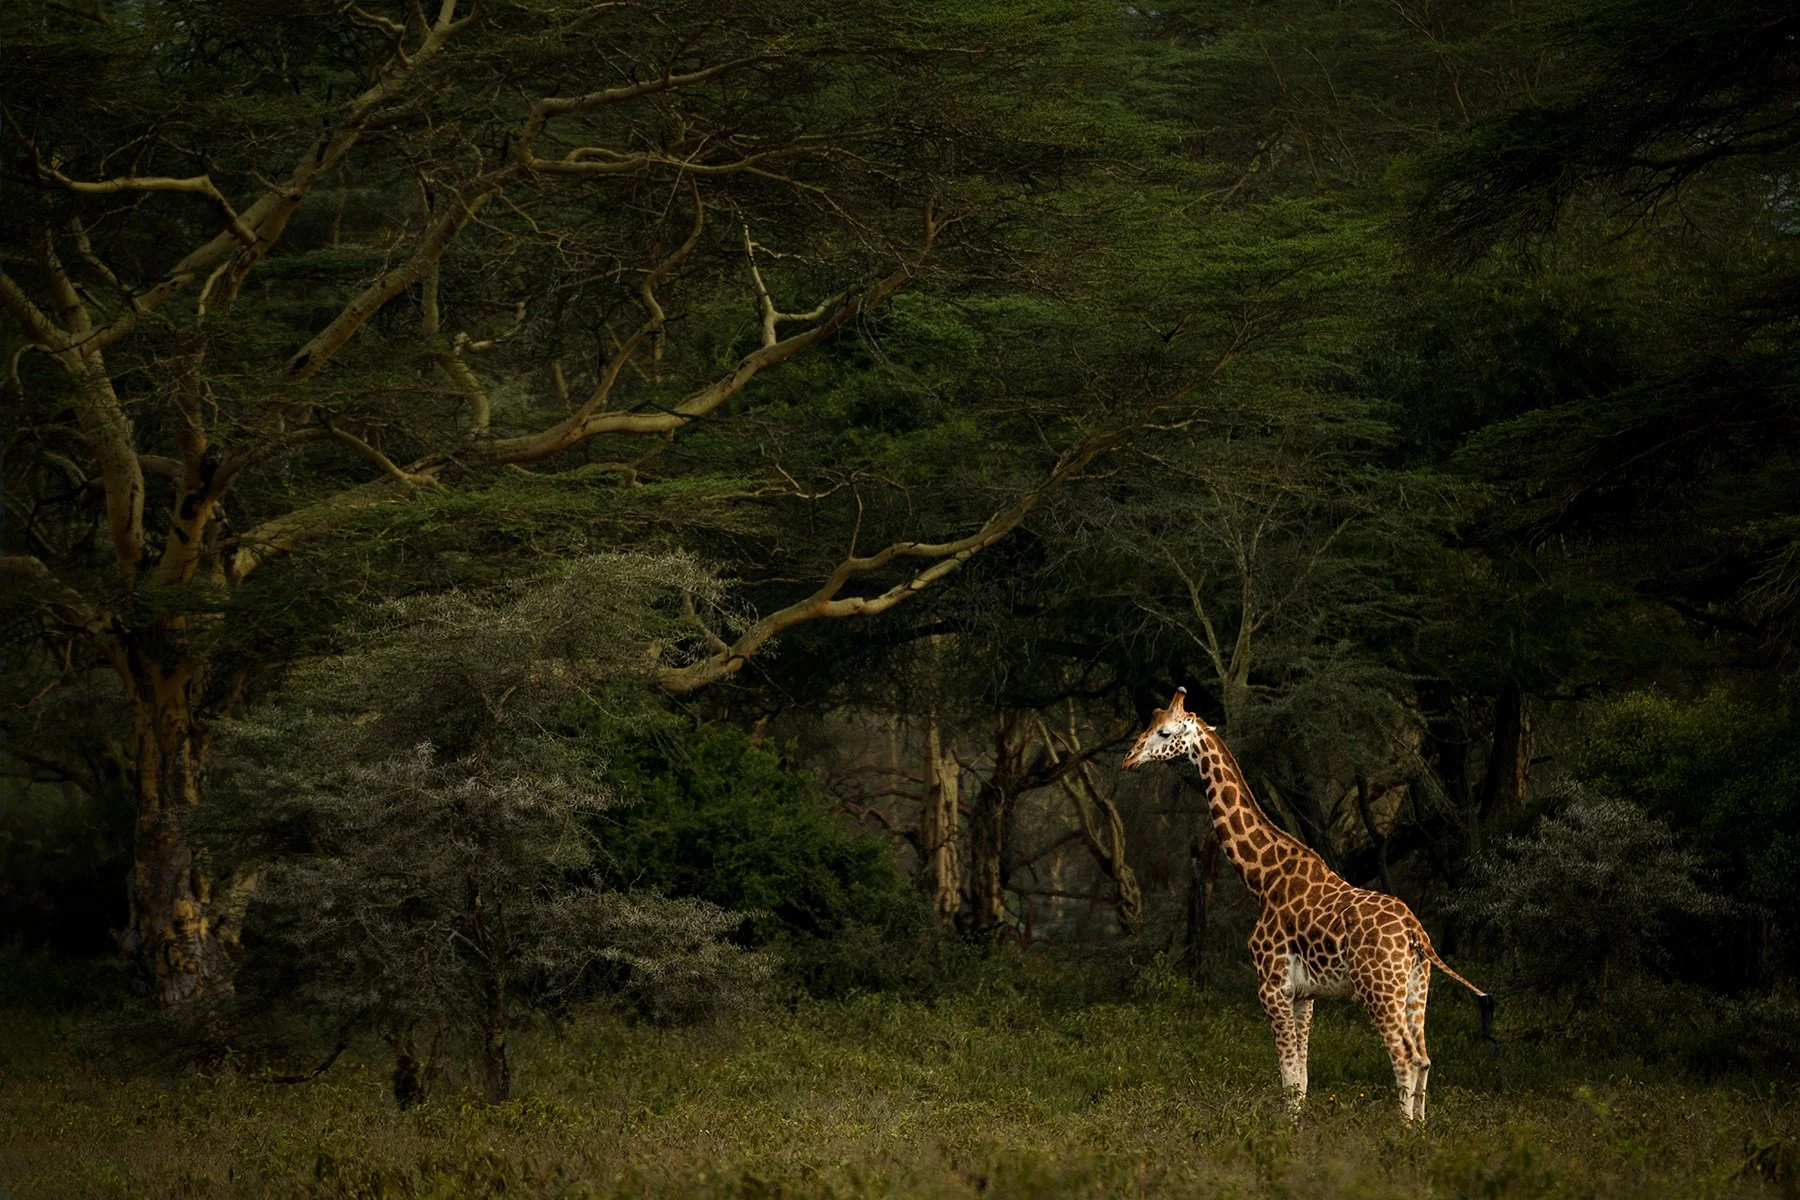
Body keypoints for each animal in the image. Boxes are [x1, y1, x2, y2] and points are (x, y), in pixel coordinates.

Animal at [1123, 687, 1492, 1122]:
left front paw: (1284, 1132)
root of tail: (1417, 935)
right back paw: (1419, 1129)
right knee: (1424, 1056)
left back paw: (1400, 1131)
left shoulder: (1272, 986)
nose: (1129, 759)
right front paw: (1294, 1127)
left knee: (1404, 1056)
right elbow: (1301, 1077)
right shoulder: (1304, 994)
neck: (1263, 877)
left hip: (1378, 988)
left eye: (1164, 732)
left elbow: (1289, 1076)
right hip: (1417, 988)